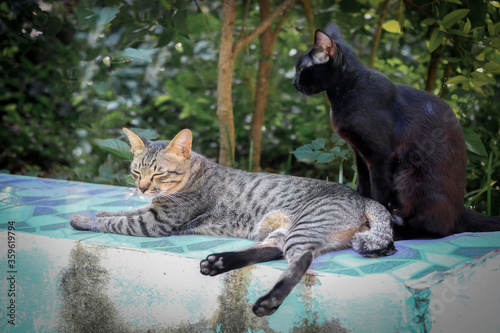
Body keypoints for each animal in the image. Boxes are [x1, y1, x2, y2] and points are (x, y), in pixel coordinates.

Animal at [71, 127, 394, 316]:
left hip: (303, 229)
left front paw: (84, 219)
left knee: (299, 261)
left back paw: (269, 300)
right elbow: (121, 213)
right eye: (137, 172)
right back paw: (218, 262)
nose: (141, 187)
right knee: (271, 251)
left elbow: (118, 222)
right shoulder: (151, 211)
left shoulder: (157, 222)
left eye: (159, 173)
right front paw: (100, 212)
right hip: (284, 230)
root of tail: (363, 198)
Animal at [292, 22, 500, 236]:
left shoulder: (381, 156)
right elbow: (363, 189)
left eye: (301, 68)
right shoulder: (360, 155)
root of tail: (460, 211)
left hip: (408, 179)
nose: (294, 82)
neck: (346, 91)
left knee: (437, 230)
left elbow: (378, 194)